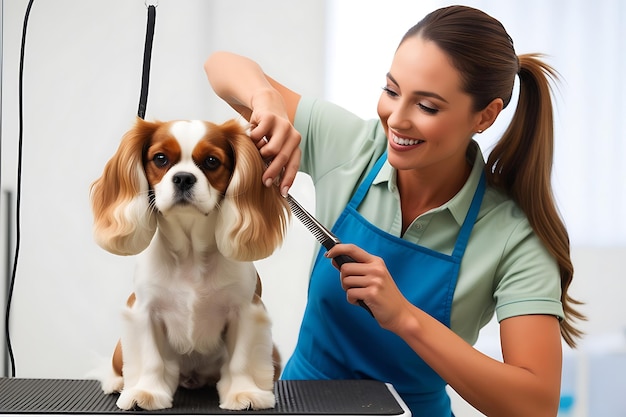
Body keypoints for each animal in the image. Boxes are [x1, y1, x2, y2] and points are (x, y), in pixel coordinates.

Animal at [89, 117, 288, 410]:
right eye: (160, 159)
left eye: (211, 161)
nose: (183, 177)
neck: (191, 253)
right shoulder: (144, 310)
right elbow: (151, 359)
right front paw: (145, 392)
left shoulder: (246, 310)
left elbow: (240, 361)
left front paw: (245, 392)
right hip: (119, 350)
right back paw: (116, 383)